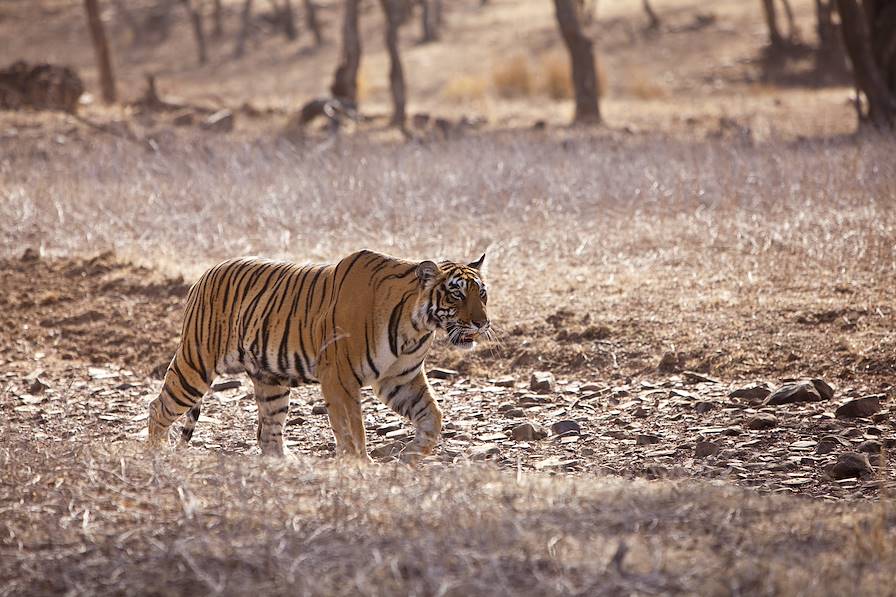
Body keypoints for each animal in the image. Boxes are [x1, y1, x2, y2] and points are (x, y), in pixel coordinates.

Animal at [146, 249, 490, 464]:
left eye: (482, 293)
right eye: (457, 294)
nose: (482, 323)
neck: (416, 325)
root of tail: (204, 275)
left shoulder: (399, 378)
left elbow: (433, 416)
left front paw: (409, 457)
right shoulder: (340, 377)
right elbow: (353, 429)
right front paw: (360, 467)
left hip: (271, 381)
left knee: (269, 432)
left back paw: (286, 465)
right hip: (196, 364)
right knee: (159, 406)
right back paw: (156, 454)